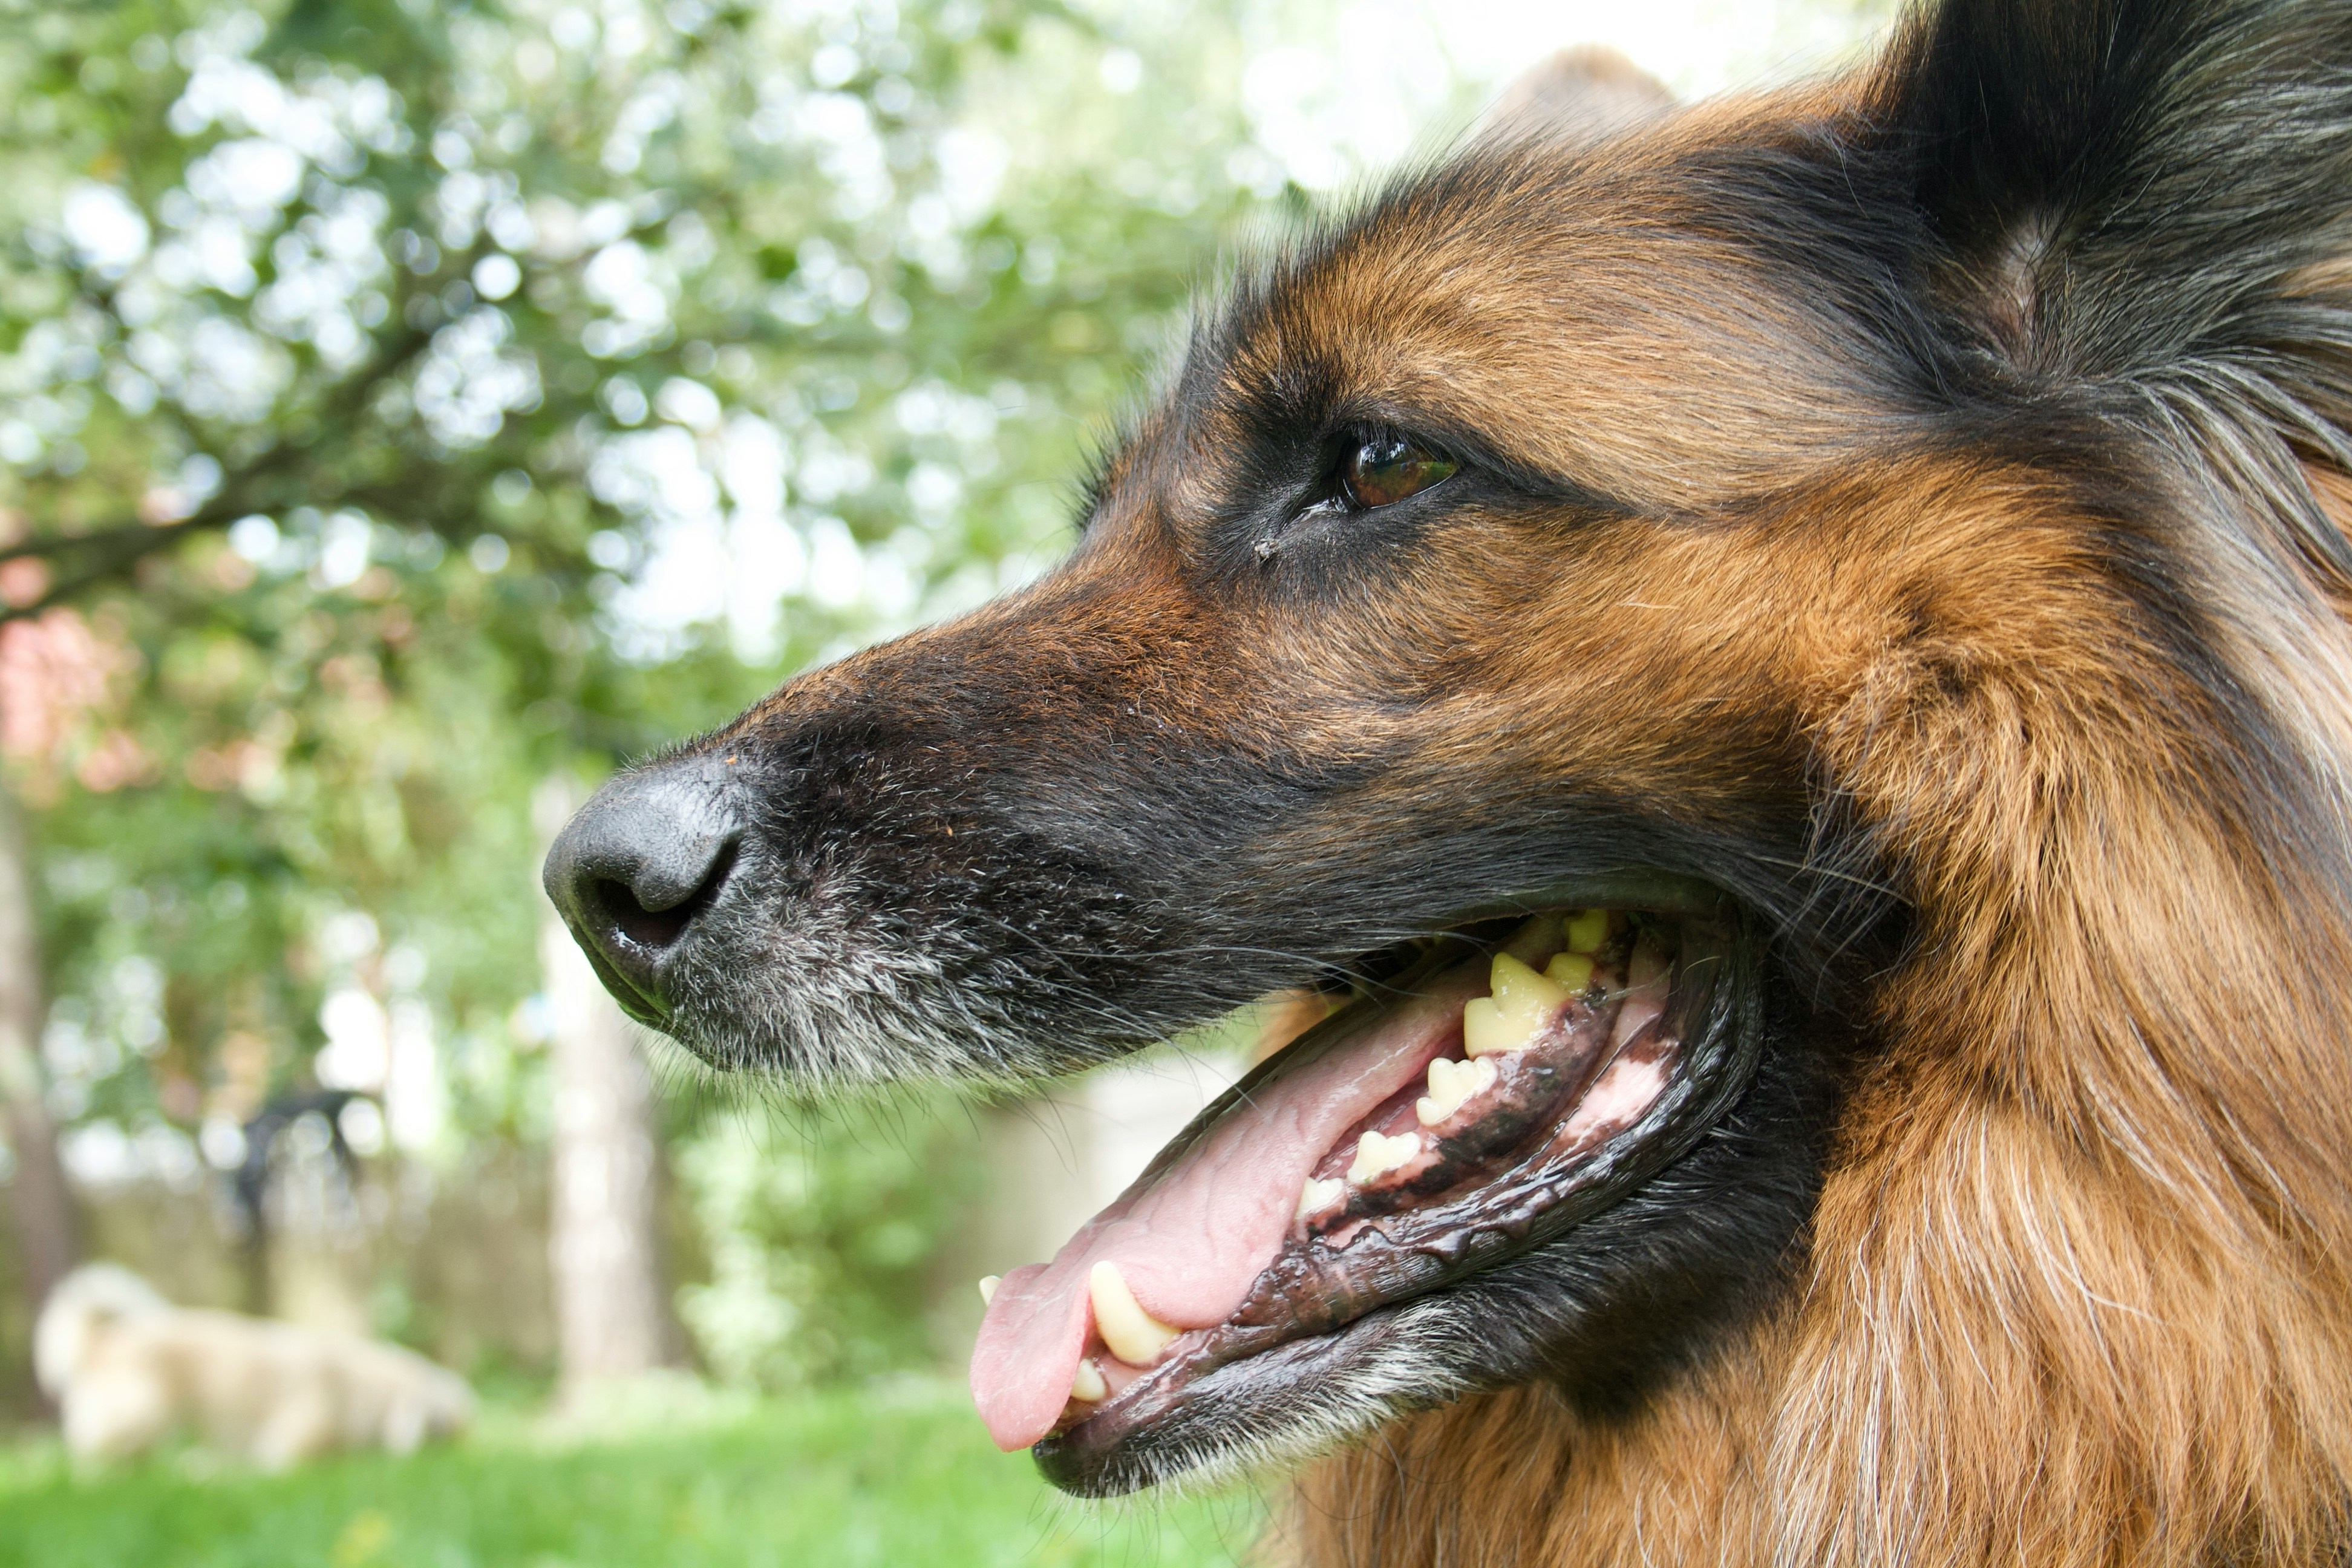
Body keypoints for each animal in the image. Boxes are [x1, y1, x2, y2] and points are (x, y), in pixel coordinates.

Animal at [34, 1259, 475, 1476]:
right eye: (441, 1430)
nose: (449, 1458)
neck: (359, 1390)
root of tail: (102, 1338)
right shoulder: (284, 1450)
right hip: (140, 1413)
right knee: (91, 1457)